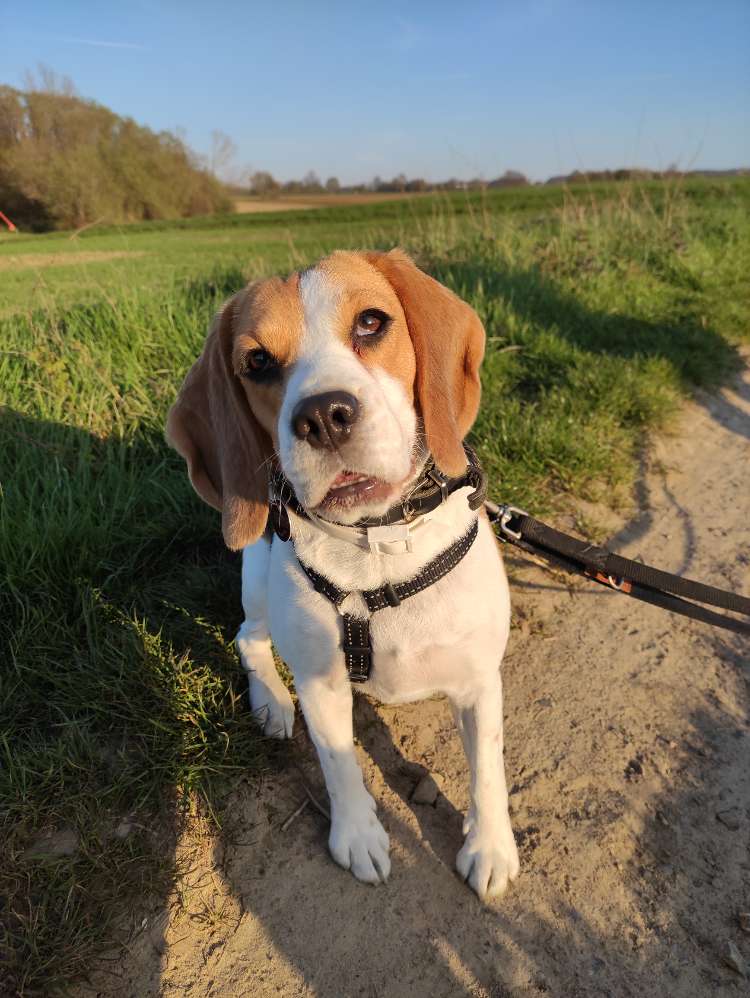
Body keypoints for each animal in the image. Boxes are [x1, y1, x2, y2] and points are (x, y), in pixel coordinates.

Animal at [167, 248, 520, 900]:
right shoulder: (320, 681)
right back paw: (270, 703)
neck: (378, 549)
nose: (322, 418)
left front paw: (489, 847)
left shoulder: (480, 679)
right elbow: (338, 762)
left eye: (371, 323)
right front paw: (357, 836)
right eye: (256, 362)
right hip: (260, 581)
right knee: (247, 638)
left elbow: (487, 766)